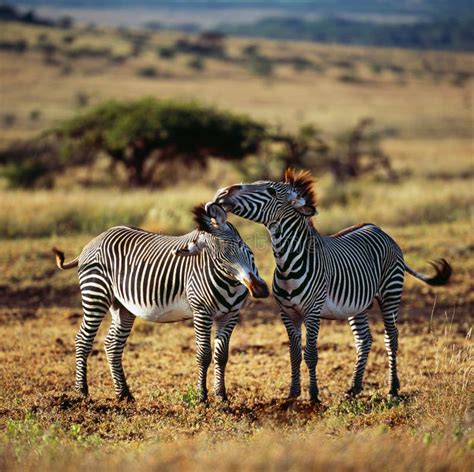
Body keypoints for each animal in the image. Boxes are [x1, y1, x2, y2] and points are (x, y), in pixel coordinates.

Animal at [52, 203, 268, 402]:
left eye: (241, 245)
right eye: (219, 261)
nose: (259, 289)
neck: (229, 282)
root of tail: (94, 240)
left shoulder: (230, 315)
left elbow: (221, 356)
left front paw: (222, 396)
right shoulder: (201, 313)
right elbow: (204, 355)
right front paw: (202, 397)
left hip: (122, 307)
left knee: (112, 344)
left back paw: (124, 395)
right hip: (95, 294)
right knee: (83, 340)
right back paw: (82, 391)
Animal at [215, 170, 452, 402]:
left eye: (271, 191)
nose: (223, 192)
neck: (288, 263)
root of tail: (379, 229)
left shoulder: (312, 312)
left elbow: (311, 354)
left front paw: (313, 396)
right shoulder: (288, 313)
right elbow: (294, 354)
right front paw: (293, 394)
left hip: (390, 293)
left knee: (391, 338)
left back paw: (393, 388)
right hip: (358, 304)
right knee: (364, 340)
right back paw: (354, 387)